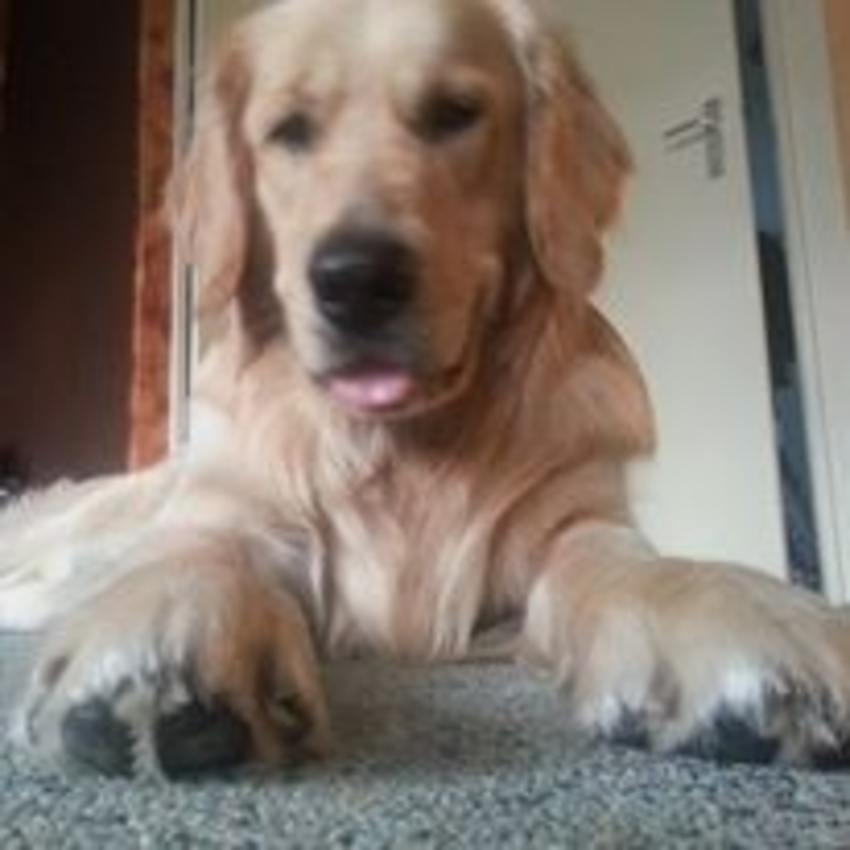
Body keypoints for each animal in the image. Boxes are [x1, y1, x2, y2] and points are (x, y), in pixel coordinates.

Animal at [1, 0, 849, 778]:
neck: (399, 448)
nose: (356, 279)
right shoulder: (236, 510)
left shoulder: (575, 519)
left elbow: (631, 564)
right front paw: (166, 631)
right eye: (289, 132)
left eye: (455, 115)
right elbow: (200, 553)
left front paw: (739, 612)